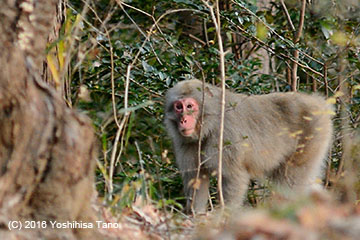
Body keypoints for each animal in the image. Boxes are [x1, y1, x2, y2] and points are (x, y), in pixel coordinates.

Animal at [165, 79, 334, 213]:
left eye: (189, 106)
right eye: (178, 107)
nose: (183, 120)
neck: (209, 125)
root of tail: (317, 102)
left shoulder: (225, 135)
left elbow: (234, 177)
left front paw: (223, 215)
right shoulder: (186, 143)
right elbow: (196, 179)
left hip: (312, 136)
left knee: (292, 179)